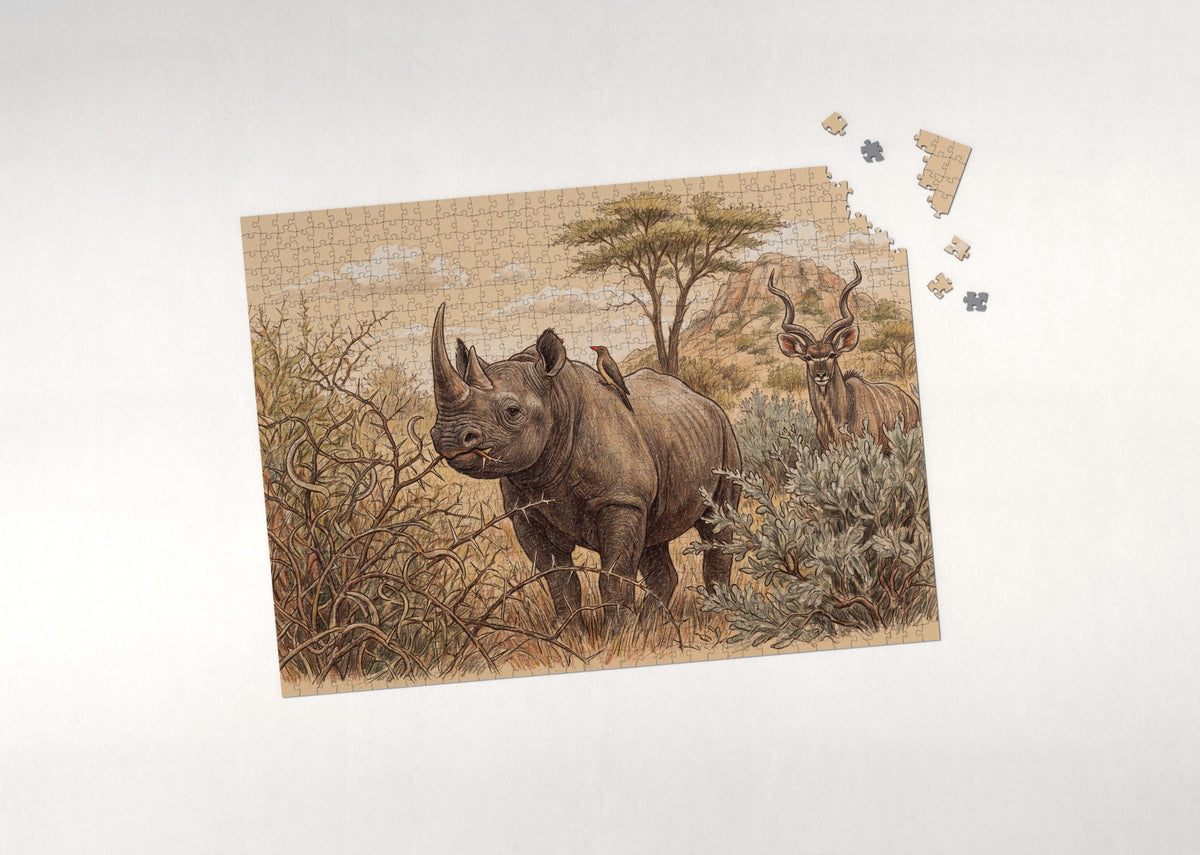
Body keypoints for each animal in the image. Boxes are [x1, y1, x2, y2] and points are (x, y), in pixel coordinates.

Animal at [428, 304, 742, 621]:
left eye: (513, 411)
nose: (447, 437)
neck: (557, 399)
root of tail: (704, 400)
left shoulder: (620, 499)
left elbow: (614, 576)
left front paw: (620, 632)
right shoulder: (526, 512)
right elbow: (559, 579)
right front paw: (569, 630)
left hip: (725, 434)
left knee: (717, 523)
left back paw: (716, 612)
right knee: (654, 539)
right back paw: (654, 622)